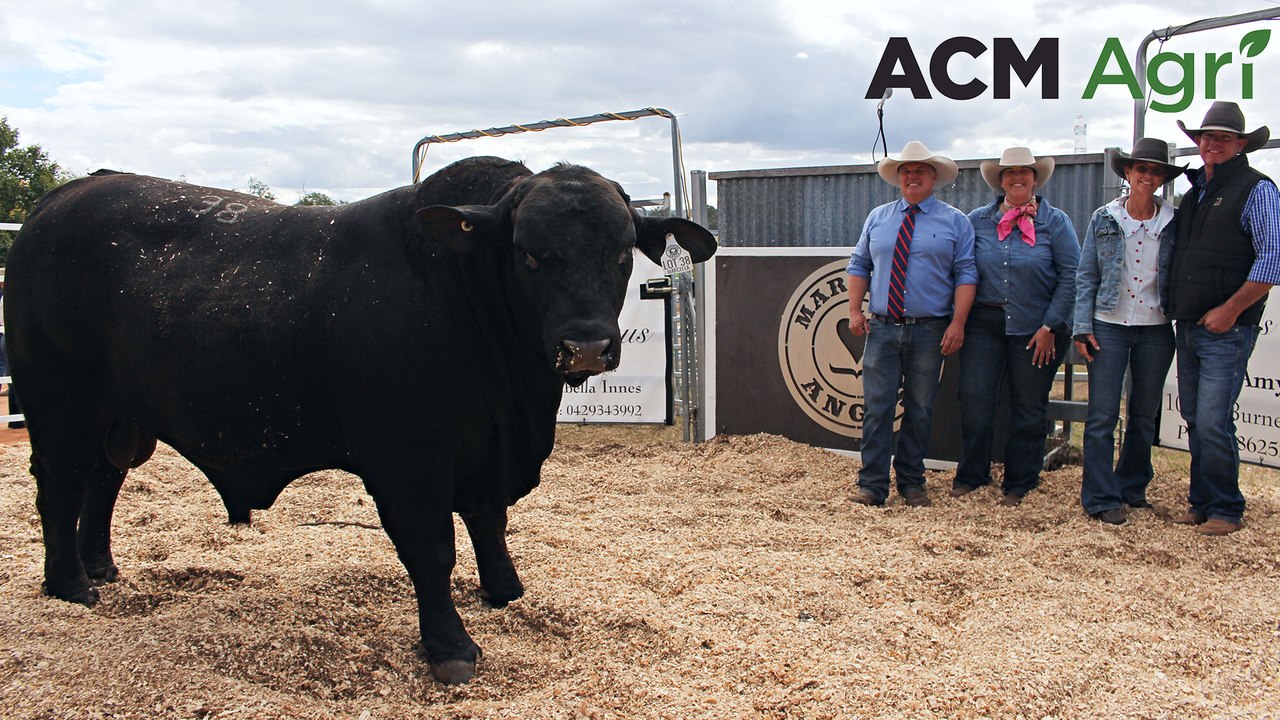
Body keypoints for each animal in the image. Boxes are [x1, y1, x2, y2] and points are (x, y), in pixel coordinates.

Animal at [5, 157, 717, 684]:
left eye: (623, 252)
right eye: (530, 254)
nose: (587, 346)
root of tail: (66, 195)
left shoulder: (484, 446)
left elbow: (489, 522)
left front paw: (505, 591)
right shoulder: (410, 455)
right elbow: (432, 549)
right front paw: (450, 648)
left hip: (122, 415)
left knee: (104, 480)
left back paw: (101, 567)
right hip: (59, 404)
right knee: (60, 486)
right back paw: (69, 585)